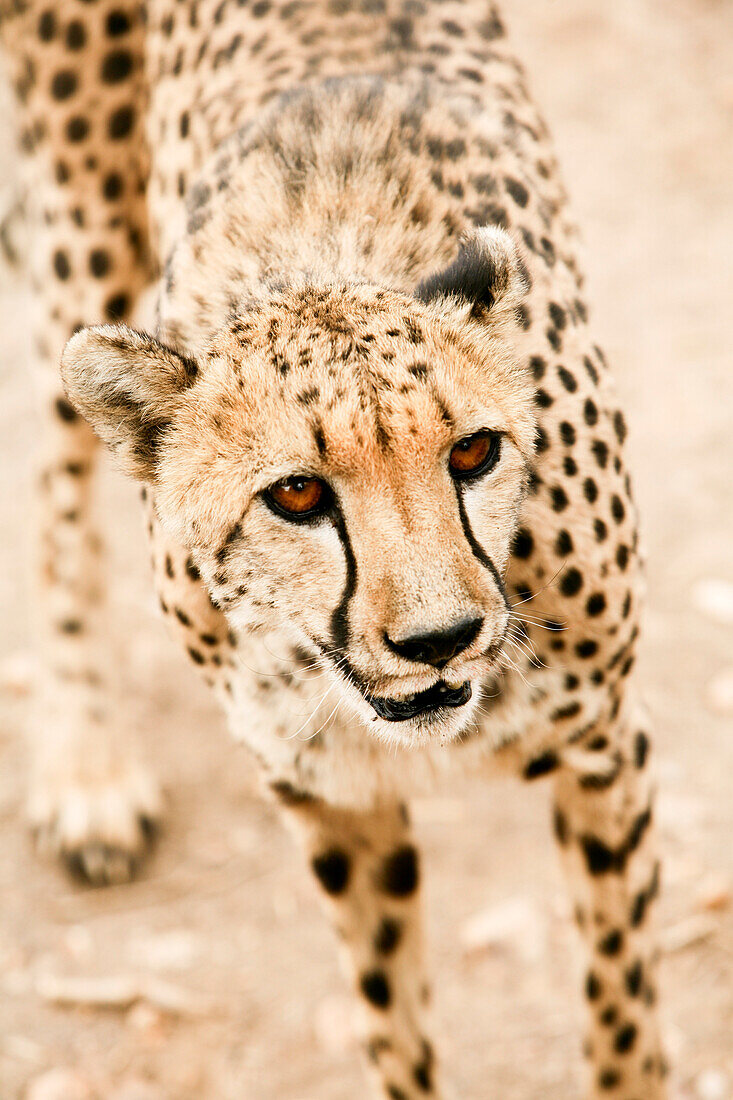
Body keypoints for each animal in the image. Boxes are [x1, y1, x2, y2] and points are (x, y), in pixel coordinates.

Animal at [0, 0, 660, 1095]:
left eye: (472, 451)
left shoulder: (605, 750)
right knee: (56, 485)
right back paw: (90, 775)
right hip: (81, 238)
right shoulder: (328, 800)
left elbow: (624, 1020)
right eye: (297, 493)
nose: (439, 640)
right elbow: (392, 1024)